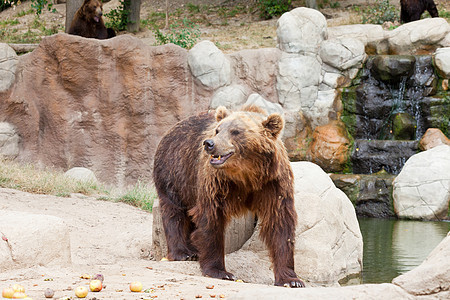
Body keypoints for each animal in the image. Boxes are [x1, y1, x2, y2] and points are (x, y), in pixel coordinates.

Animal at [153, 104, 304, 288]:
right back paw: (183, 252)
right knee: (174, 212)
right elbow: (211, 219)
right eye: (217, 130)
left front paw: (291, 279)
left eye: (236, 131)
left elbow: (280, 224)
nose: (209, 143)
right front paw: (220, 271)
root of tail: (170, 129)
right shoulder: (216, 182)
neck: (247, 174)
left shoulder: (273, 183)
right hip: (175, 172)